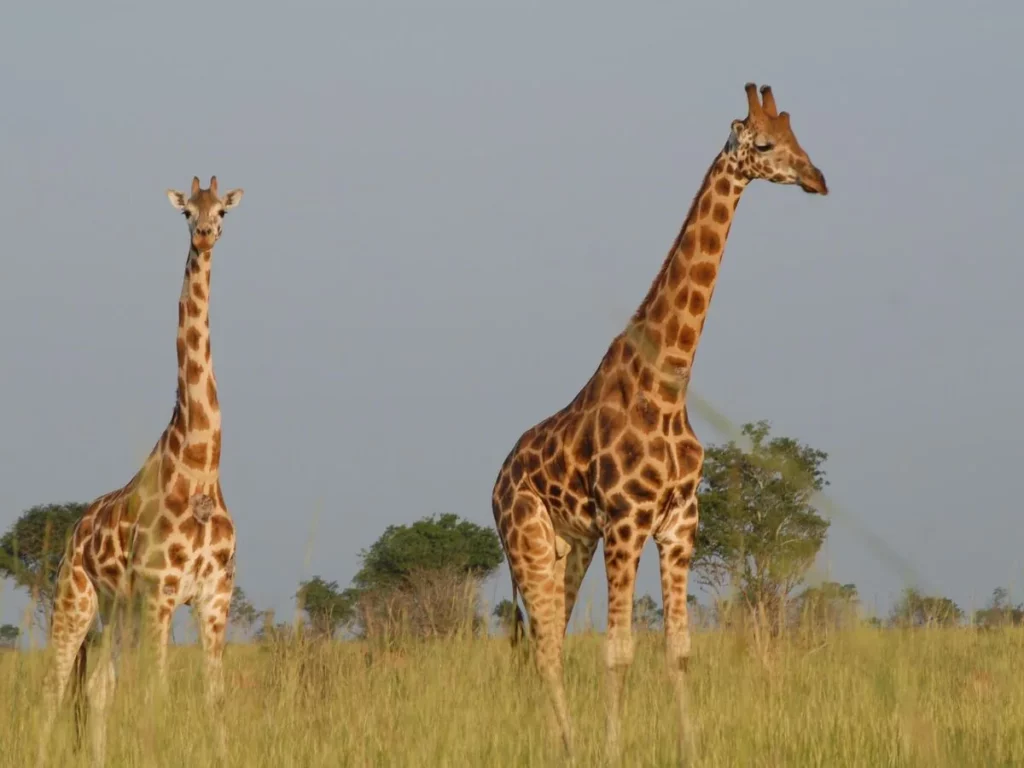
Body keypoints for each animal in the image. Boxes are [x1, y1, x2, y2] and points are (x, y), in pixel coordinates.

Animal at [37, 176, 244, 766]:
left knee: (97, 689)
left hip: (117, 612)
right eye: (186, 212)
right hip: (76, 600)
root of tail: (74, 531)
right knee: (53, 687)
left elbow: (214, 696)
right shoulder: (161, 590)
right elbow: (157, 692)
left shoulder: (215, 593)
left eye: (223, 211)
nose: (205, 234)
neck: (199, 466)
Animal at [491, 83, 828, 759]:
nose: (818, 178)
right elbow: (619, 651)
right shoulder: (626, 521)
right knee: (544, 649)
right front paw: (613, 753)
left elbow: (679, 650)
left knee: (551, 642)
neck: (671, 383)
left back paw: (563, 744)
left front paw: (690, 750)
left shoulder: (679, 523)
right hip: (527, 543)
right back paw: (571, 749)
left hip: (570, 545)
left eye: (797, 137)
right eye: (765, 145)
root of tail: (492, 486)